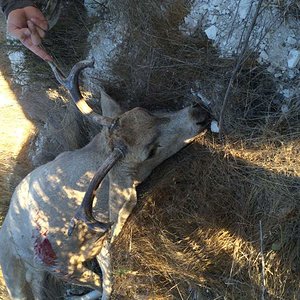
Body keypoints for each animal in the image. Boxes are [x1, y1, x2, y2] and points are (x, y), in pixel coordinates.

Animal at [0, 59, 211, 298]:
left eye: (145, 110)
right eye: (150, 151)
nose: (199, 114)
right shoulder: (67, 263)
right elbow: (104, 282)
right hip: (24, 274)